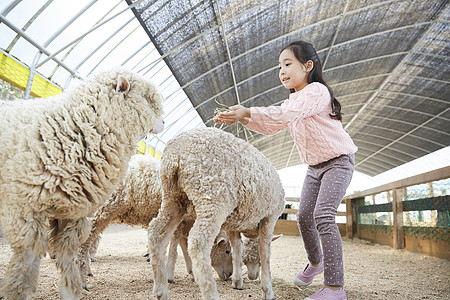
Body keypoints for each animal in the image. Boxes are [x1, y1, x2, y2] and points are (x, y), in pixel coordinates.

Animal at [0, 68, 164, 300]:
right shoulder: (25, 208)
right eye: (147, 99)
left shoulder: (72, 212)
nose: (164, 123)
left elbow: (68, 254)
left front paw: (71, 290)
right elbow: (27, 260)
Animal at [77, 154, 232, 284]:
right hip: (102, 211)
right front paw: (170, 275)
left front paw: (192, 272)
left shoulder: (183, 224)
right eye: (227, 251)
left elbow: (184, 247)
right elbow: (175, 249)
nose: (229, 274)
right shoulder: (178, 222)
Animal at [149, 127, 286, 300]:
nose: (252, 276)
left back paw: (161, 290)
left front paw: (237, 281)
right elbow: (265, 253)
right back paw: (211, 293)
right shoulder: (270, 217)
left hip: (173, 197)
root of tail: (176, 151)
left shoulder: (234, 223)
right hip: (212, 196)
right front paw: (268, 290)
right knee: (198, 243)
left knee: (156, 234)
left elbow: (237, 249)